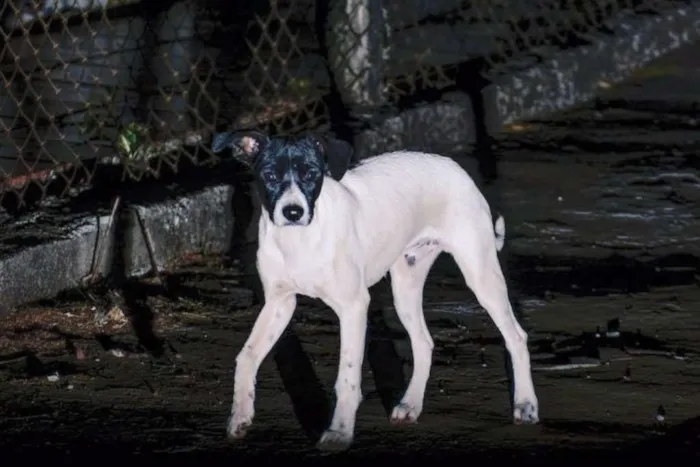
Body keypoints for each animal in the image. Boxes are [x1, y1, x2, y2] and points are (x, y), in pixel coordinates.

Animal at [211, 130, 540, 452]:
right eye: (269, 174)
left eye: (312, 173)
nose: (293, 212)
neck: (300, 239)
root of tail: (453, 166)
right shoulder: (279, 303)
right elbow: (246, 356)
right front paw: (240, 415)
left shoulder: (354, 306)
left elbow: (347, 377)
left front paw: (340, 433)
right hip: (405, 288)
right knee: (423, 342)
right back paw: (410, 404)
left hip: (481, 275)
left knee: (516, 336)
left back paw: (525, 405)